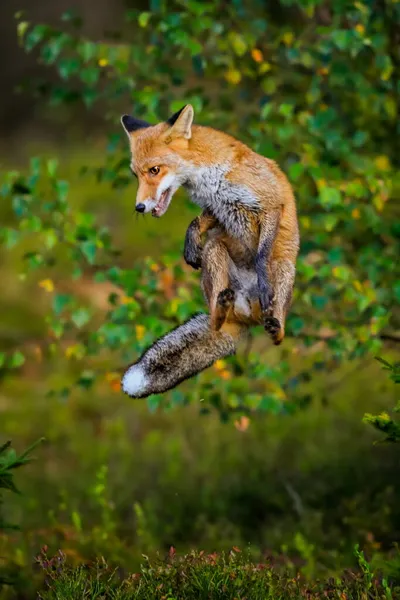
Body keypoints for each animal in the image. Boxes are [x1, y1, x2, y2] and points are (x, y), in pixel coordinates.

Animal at [120, 106, 298, 400]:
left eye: (154, 170)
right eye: (137, 175)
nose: (139, 207)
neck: (212, 179)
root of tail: (247, 318)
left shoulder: (271, 205)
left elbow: (261, 257)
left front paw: (264, 283)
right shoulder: (216, 207)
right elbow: (198, 220)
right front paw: (190, 241)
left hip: (284, 270)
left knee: (277, 331)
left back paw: (275, 328)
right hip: (214, 254)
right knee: (215, 319)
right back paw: (220, 310)